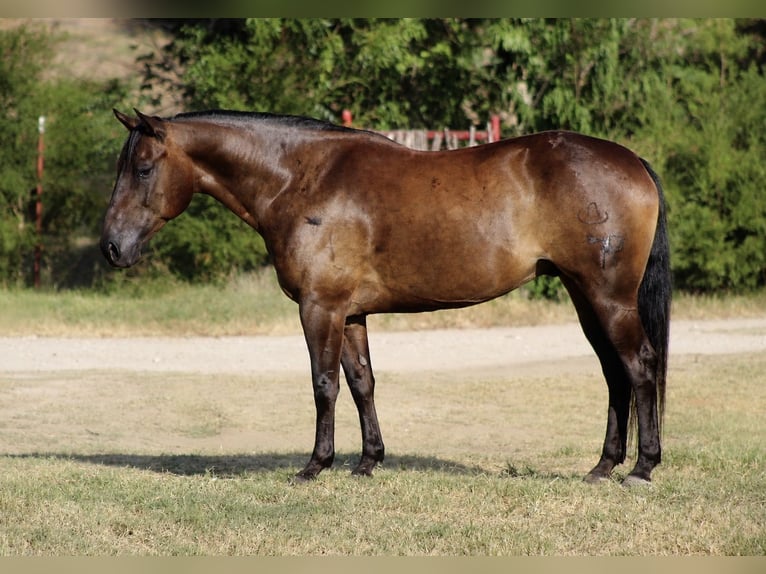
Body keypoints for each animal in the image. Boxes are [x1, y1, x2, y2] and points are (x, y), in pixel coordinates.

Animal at [101, 109, 671, 486]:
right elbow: (362, 383)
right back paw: (603, 466)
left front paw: (315, 465)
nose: (112, 247)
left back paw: (641, 468)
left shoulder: (320, 308)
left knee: (639, 365)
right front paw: (368, 461)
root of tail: (632, 161)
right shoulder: (351, 313)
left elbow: (324, 385)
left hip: (609, 298)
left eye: (143, 169)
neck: (301, 178)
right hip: (584, 296)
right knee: (614, 374)